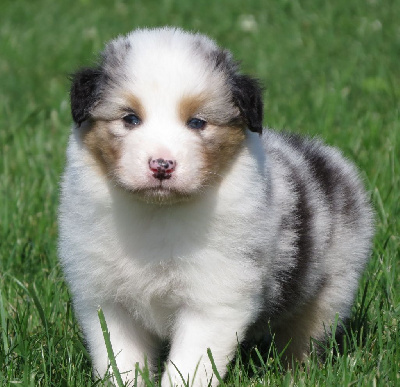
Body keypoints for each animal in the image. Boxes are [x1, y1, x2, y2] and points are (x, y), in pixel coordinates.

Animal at [57, 25, 374, 386]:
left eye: (197, 122)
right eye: (130, 119)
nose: (162, 165)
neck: (159, 213)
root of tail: (325, 157)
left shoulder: (214, 300)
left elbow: (190, 364)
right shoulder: (107, 301)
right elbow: (119, 361)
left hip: (334, 283)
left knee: (306, 334)